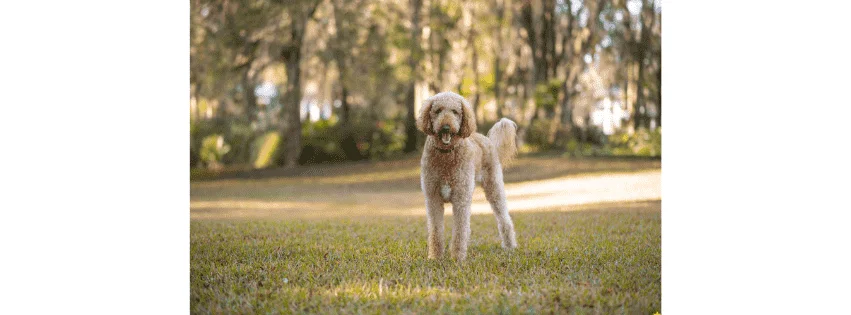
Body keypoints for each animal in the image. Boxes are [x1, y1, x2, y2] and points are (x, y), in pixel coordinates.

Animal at [420, 92, 520, 262]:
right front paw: (436, 257)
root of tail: (489, 140)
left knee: (504, 219)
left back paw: (510, 246)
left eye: (455, 111)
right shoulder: (433, 199)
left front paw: (457, 258)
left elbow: (459, 231)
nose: (446, 127)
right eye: (438, 110)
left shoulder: (460, 199)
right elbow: (436, 230)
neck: (447, 155)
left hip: (494, 188)